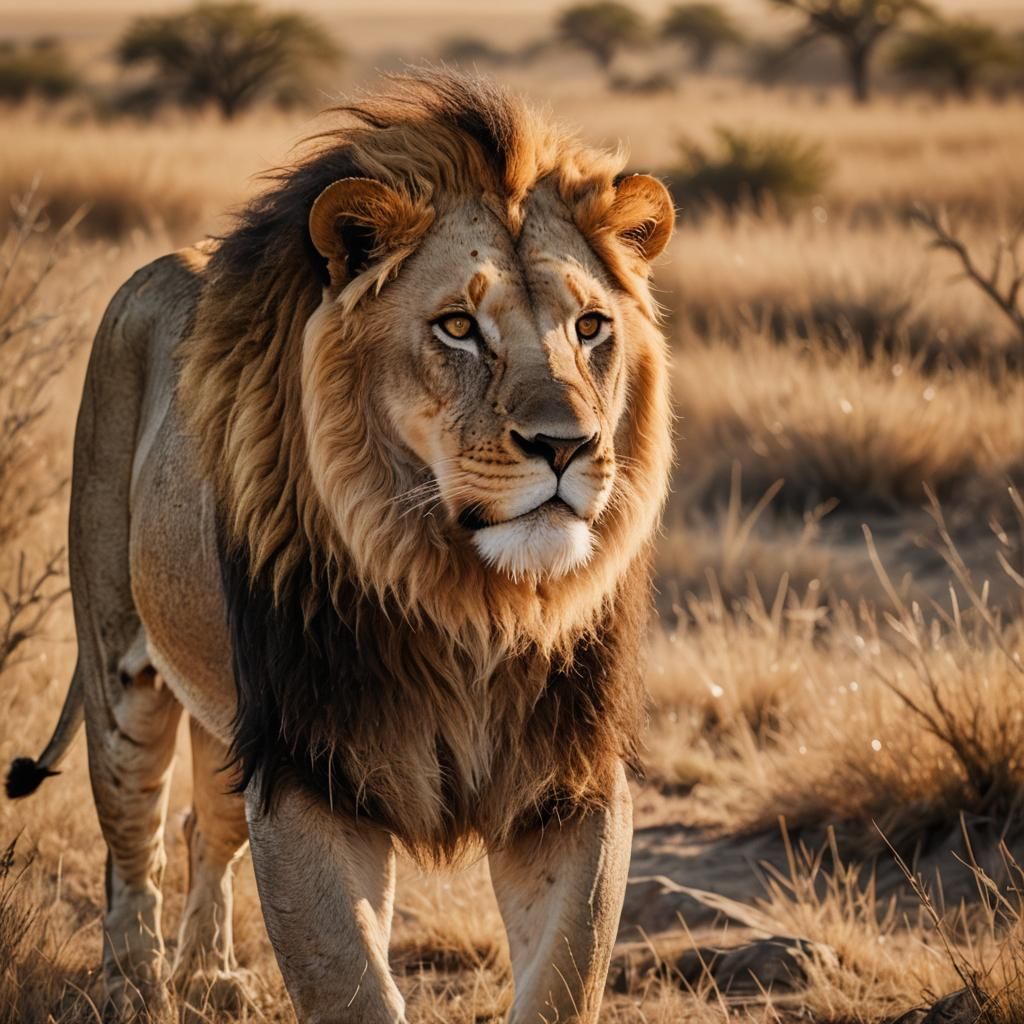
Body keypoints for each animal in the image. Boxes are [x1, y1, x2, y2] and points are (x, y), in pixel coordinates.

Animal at [6, 71, 674, 1023]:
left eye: (589, 328)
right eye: (457, 327)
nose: (567, 445)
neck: (472, 602)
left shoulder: (568, 779)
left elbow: (564, 980)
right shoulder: (308, 765)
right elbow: (349, 982)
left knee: (205, 825)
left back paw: (209, 975)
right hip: (121, 673)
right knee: (133, 843)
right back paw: (135, 983)